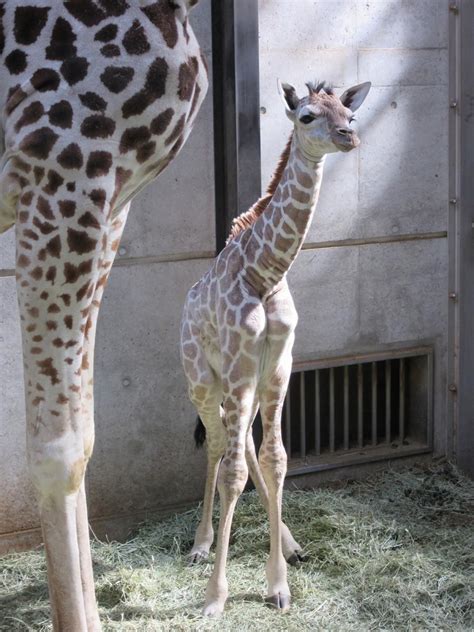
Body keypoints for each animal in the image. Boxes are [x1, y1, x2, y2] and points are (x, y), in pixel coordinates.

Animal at [181, 76, 370, 616]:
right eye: (307, 115)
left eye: (347, 113)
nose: (350, 136)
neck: (264, 273)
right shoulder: (241, 365)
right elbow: (233, 471)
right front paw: (215, 597)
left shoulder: (280, 366)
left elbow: (276, 459)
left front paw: (279, 583)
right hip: (203, 381)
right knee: (219, 446)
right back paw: (200, 545)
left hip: (239, 385)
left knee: (241, 442)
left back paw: (289, 543)